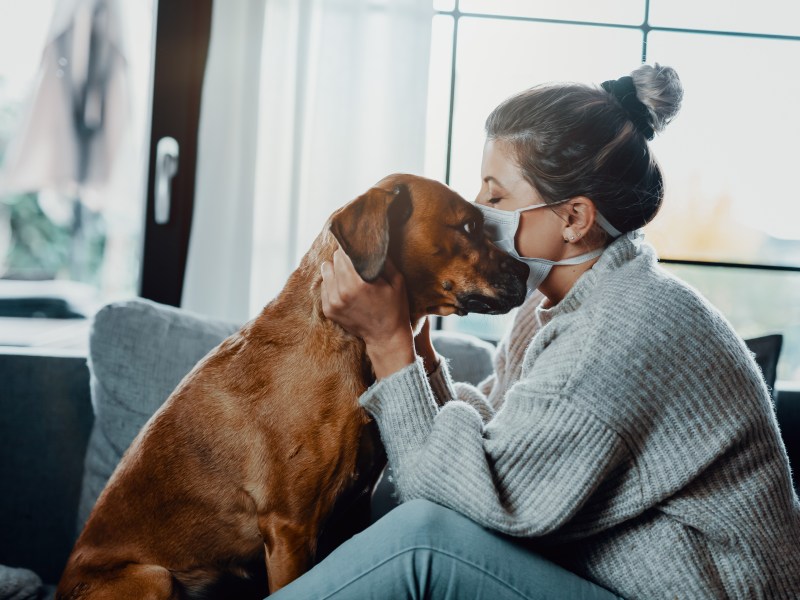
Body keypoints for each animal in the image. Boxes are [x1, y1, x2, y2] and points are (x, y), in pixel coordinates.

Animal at [57, 173, 532, 600]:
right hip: (153, 577)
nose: (528, 270)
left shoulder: (352, 512)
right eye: (467, 227)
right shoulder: (291, 528)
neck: (344, 341)